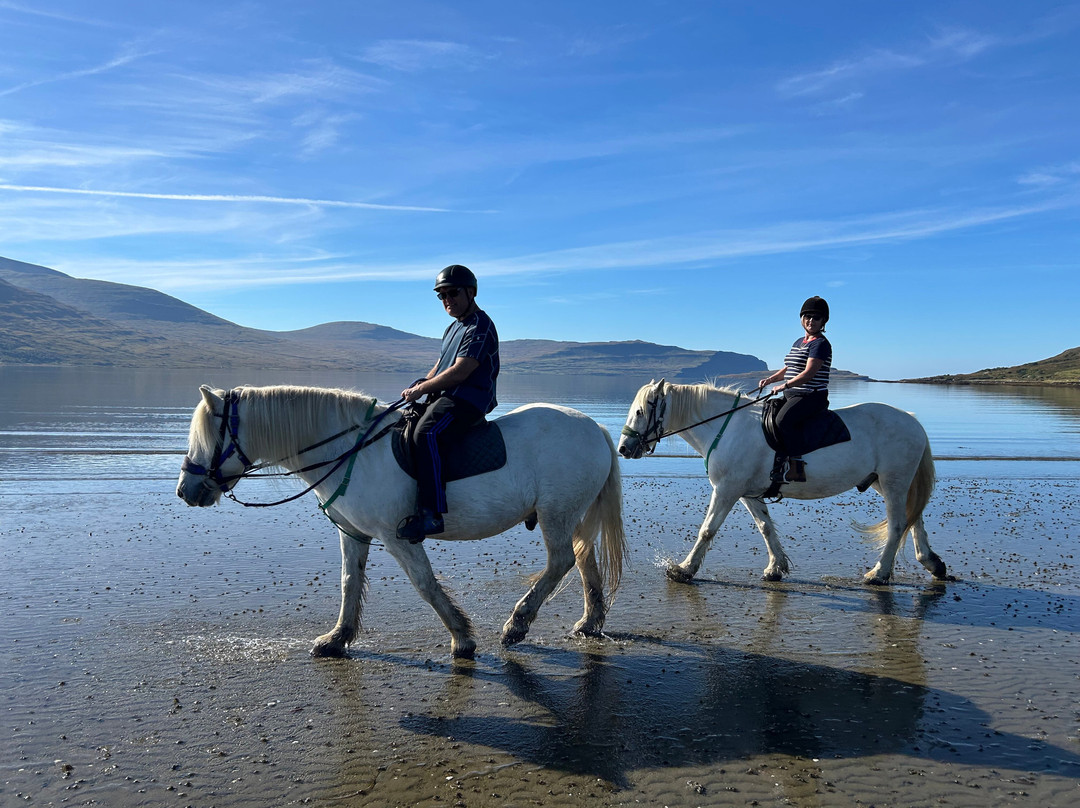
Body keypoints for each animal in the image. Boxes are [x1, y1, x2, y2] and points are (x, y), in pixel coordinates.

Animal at [176, 384, 627, 660]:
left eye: (209, 437)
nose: (185, 490)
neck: (351, 450)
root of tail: (595, 428)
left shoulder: (398, 537)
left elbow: (425, 585)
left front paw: (462, 638)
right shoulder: (353, 533)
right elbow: (349, 582)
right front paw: (336, 639)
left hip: (556, 513)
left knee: (560, 562)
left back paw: (516, 625)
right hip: (571, 514)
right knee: (583, 561)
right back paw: (589, 623)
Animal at [617, 379, 948, 586]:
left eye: (641, 410)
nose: (623, 448)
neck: (726, 427)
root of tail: (912, 420)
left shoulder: (726, 490)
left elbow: (707, 530)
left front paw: (684, 570)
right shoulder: (747, 493)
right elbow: (765, 527)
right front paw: (776, 568)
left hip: (893, 482)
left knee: (898, 525)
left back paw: (878, 574)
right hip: (886, 481)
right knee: (913, 519)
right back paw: (932, 563)